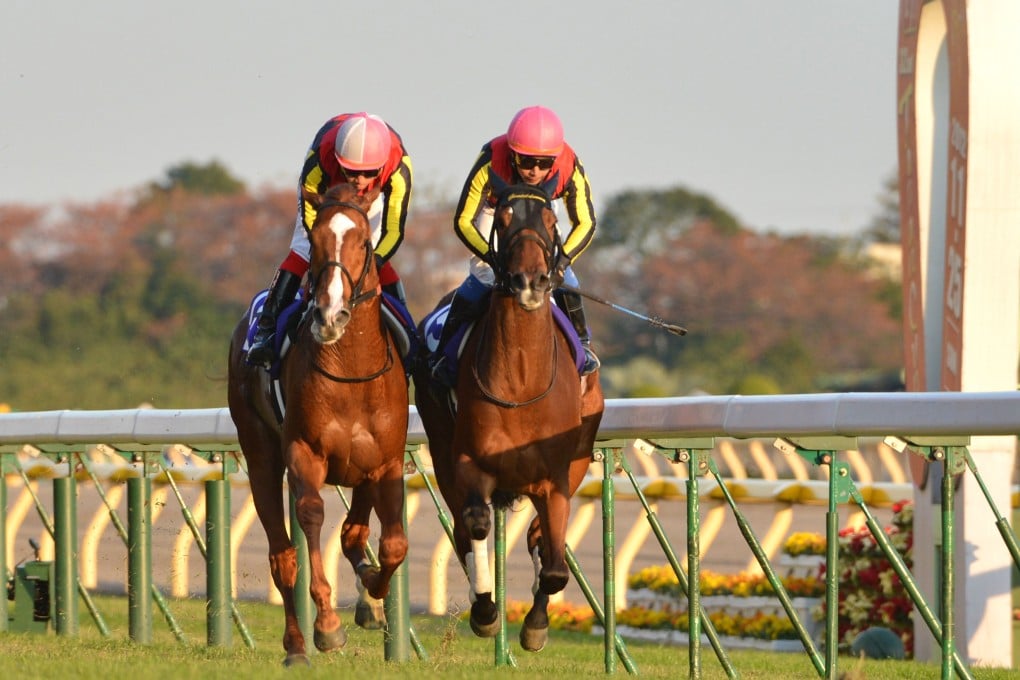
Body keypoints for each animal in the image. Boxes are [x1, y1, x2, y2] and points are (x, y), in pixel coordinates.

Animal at [228, 180, 410, 664]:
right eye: (315, 242)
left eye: (364, 243)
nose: (330, 315)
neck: (351, 371)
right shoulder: (304, 452)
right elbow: (311, 516)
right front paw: (328, 625)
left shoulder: (384, 461)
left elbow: (386, 543)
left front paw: (373, 599)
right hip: (260, 455)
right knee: (282, 555)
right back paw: (296, 646)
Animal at [414, 182, 599, 652]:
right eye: (503, 218)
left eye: (551, 220)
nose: (530, 281)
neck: (521, 381)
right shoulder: (469, 463)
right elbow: (476, 525)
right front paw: (485, 610)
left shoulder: (555, 477)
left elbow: (554, 568)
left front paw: (535, 626)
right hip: (441, 450)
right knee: (465, 530)